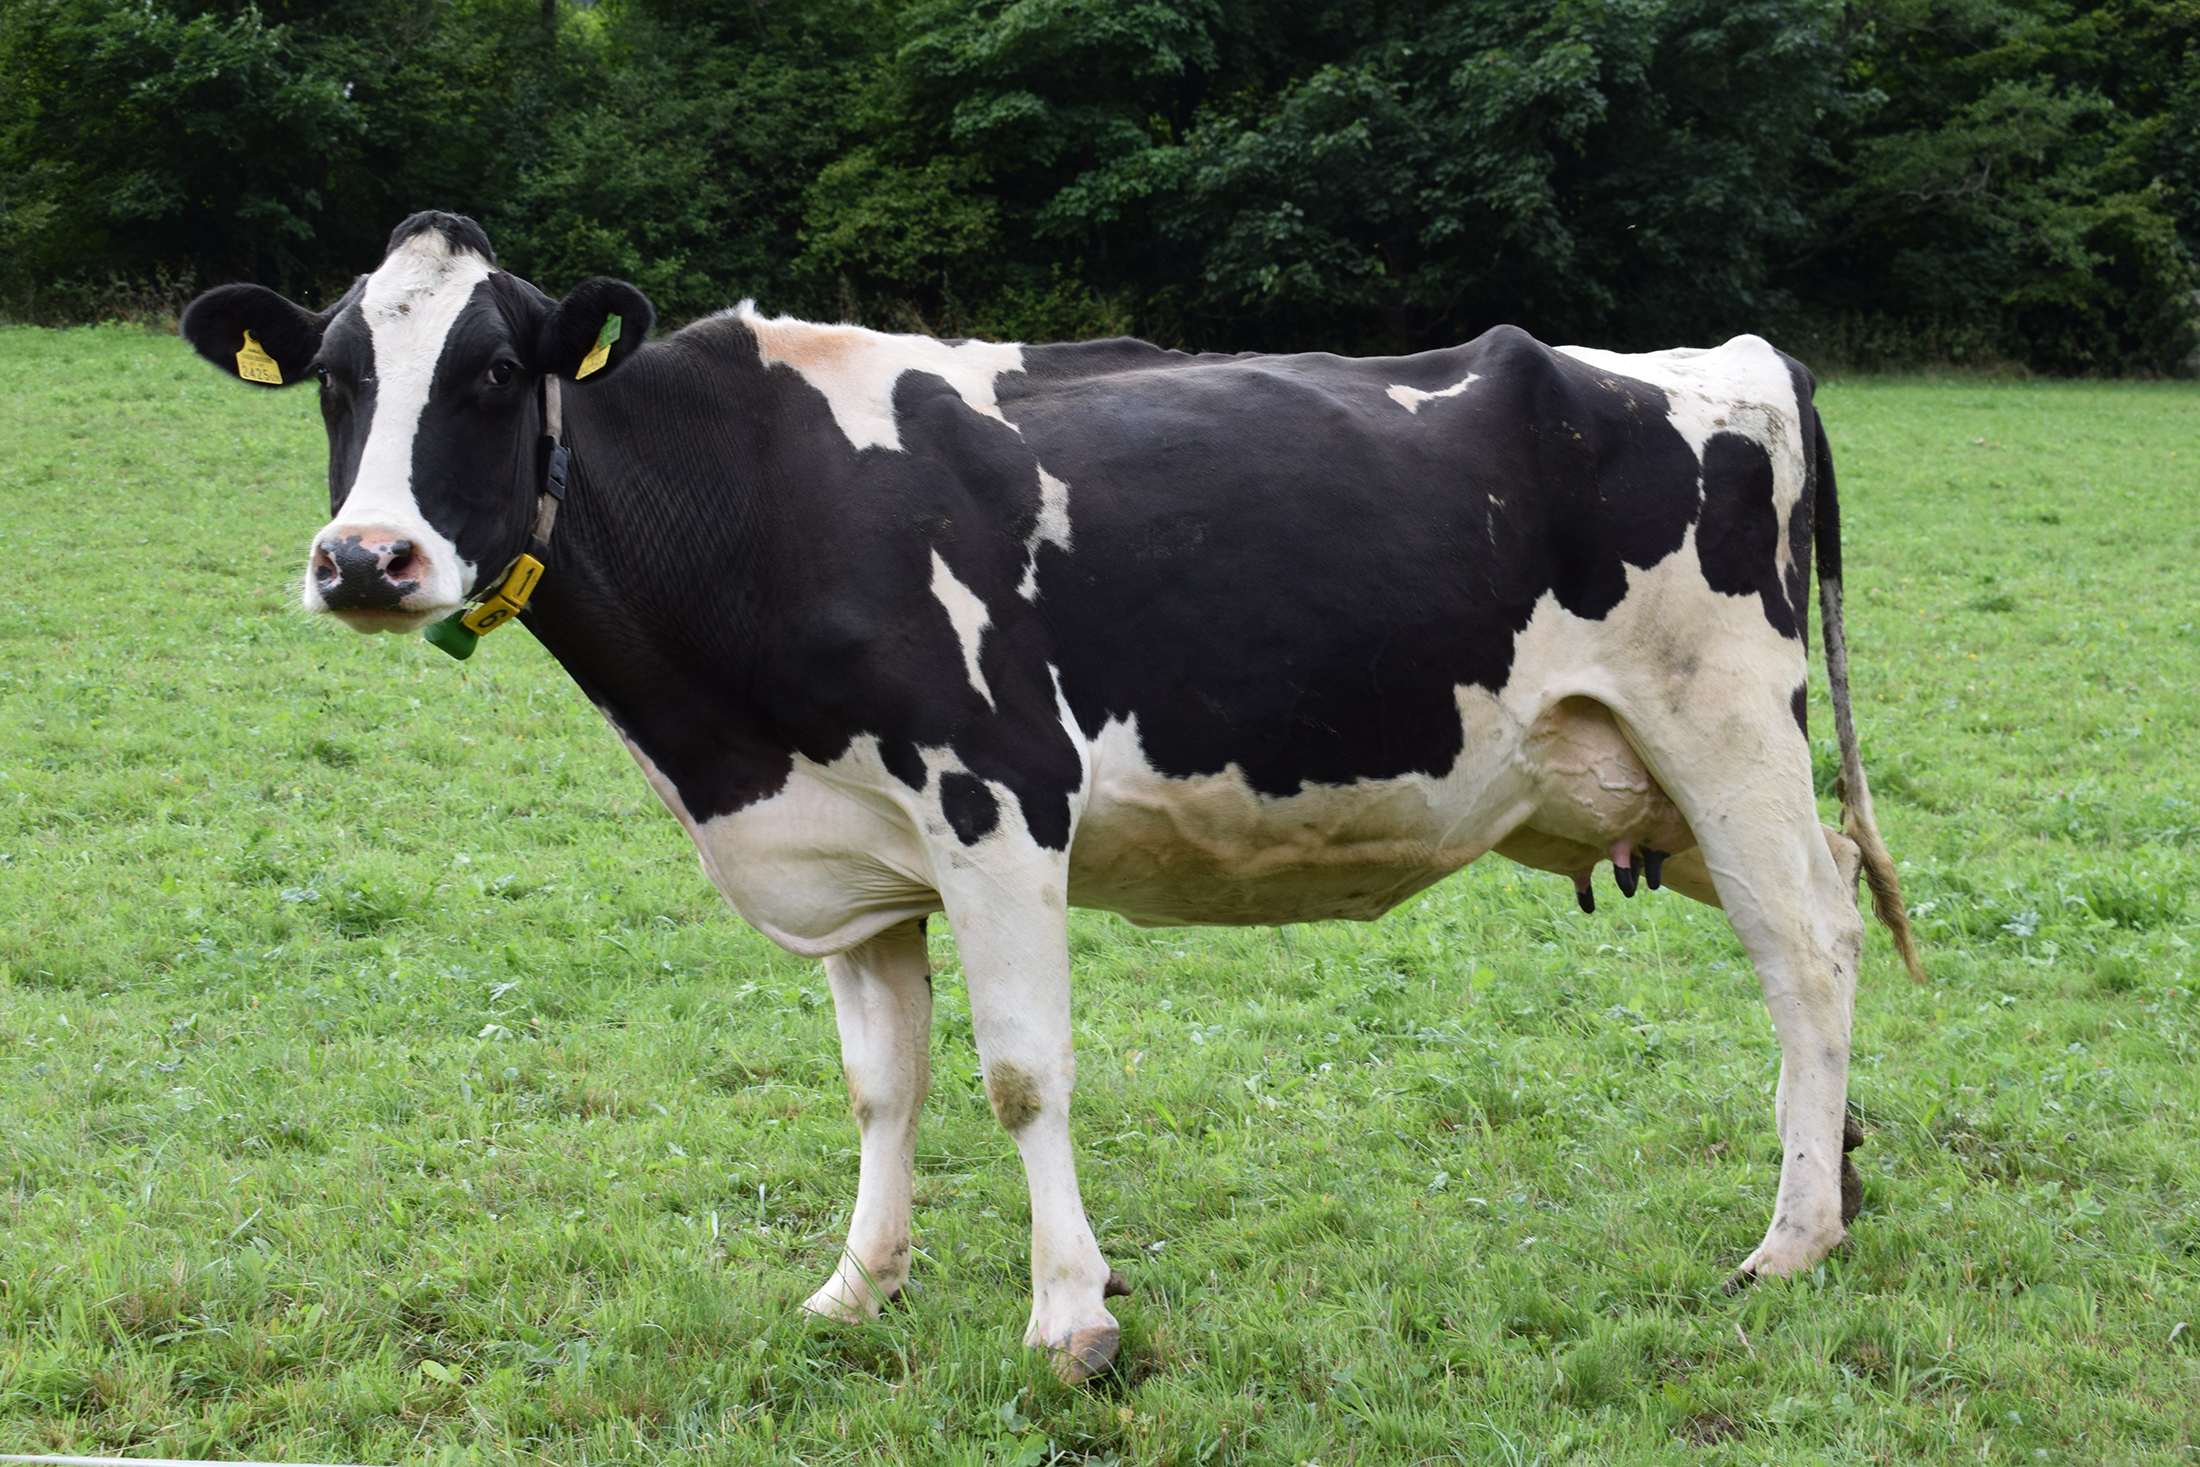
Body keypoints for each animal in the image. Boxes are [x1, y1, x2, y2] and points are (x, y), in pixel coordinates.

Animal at [184, 212, 1927, 1381]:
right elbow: (881, 1085)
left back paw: (1789, 1237)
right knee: (1829, 915)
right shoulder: (853, 858)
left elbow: (1021, 1073)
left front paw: (1071, 1315)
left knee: (1808, 946)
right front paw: (858, 1284)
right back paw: (1839, 1177)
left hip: (1727, 731)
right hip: (1640, 783)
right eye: (333, 378)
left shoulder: (997, 801)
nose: (365, 560)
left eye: (491, 371)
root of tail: (1733, 357)